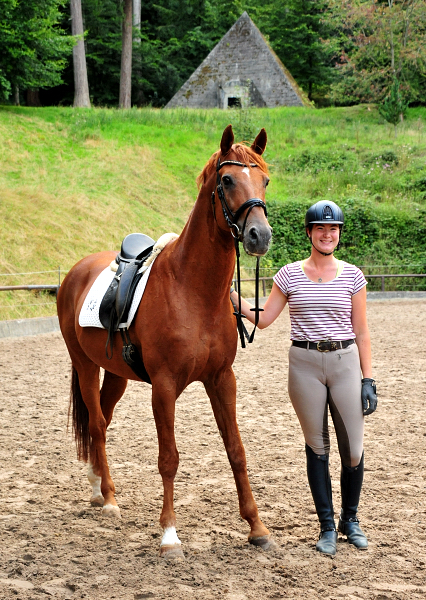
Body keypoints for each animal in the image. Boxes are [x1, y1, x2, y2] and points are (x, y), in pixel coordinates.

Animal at [57, 125, 272, 556]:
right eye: (227, 180)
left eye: (265, 180)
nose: (260, 235)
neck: (192, 289)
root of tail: (76, 270)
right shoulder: (165, 386)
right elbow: (169, 458)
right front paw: (170, 534)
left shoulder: (222, 379)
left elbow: (236, 451)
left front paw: (256, 527)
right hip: (85, 365)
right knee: (98, 423)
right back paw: (108, 497)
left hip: (115, 373)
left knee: (100, 419)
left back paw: (97, 486)